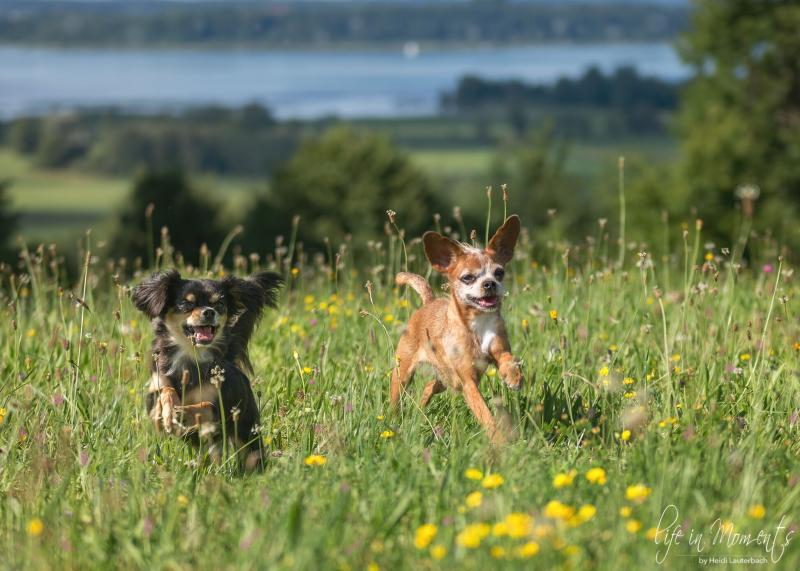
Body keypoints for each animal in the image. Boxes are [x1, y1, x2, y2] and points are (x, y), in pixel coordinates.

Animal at [132, 270, 282, 466]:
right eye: (187, 304)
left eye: (219, 304)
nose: (209, 312)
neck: (191, 356)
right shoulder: (155, 386)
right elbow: (165, 391)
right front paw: (168, 412)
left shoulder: (218, 406)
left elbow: (204, 405)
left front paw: (179, 412)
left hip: (246, 432)